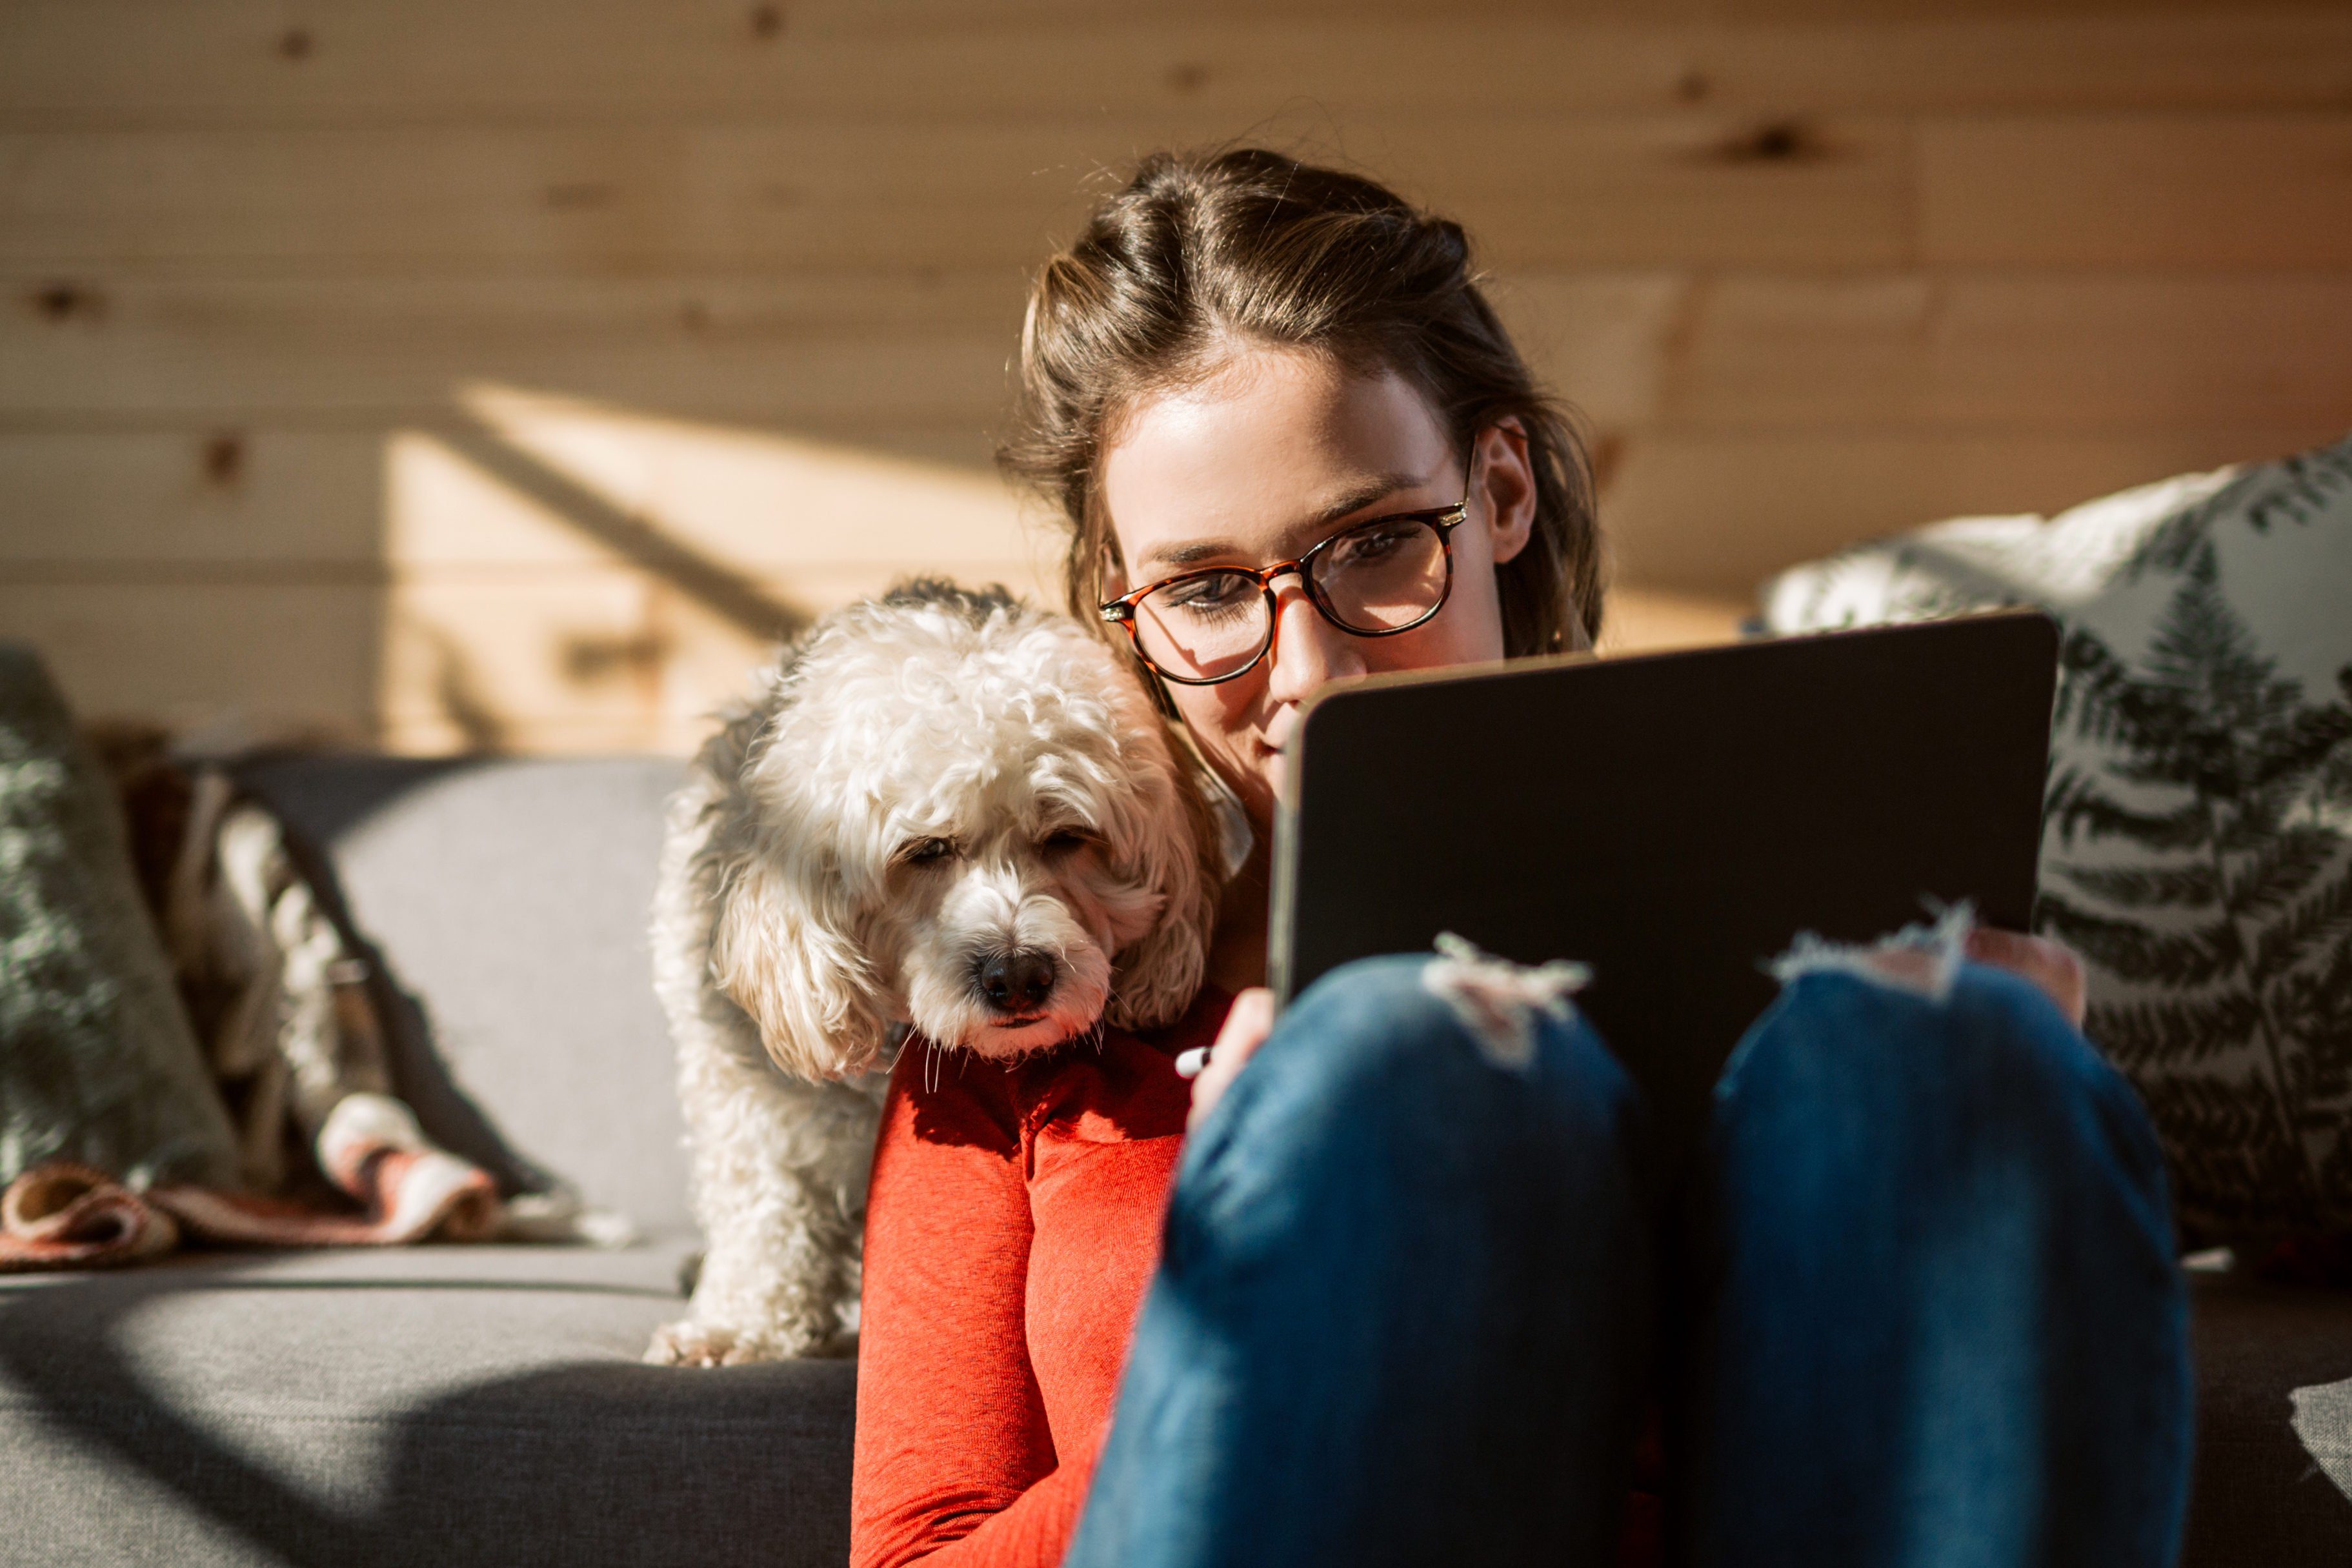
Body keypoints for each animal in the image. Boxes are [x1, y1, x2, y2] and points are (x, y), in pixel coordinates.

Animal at [654, 583, 1223, 1363]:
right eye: (926, 850)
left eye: (1068, 837)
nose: (1019, 975)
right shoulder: (751, 1098)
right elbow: (764, 1206)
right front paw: (741, 1324)